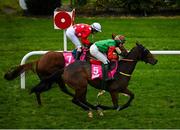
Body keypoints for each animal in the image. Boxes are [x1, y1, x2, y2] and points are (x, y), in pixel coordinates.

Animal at [30, 43, 158, 117]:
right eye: (146, 51)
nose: (155, 60)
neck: (121, 69)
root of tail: (65, 69)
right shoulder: (113, 91)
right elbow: (115, 106)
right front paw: (103, 107)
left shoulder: (122, 88)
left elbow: (132, 96)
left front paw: (125, 106)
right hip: (81, 85)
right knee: (75, 99)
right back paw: (93, 109)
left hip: (79, 86)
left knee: (79, 98)